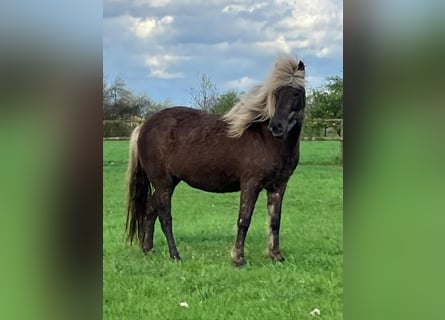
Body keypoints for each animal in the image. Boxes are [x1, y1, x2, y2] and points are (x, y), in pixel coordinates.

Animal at [125, 55, 306, 264]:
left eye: (296, 93)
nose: (277, 126)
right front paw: (238, 258)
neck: (267, 140)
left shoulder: (278, 186)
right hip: (163, 183)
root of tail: (144, 126)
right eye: (275, 93)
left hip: (169, 182)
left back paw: (148, 248)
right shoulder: (250, 184)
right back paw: (175, 255)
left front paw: (276, 255)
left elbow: (275, 222)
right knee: (165, 217)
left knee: (150, 210)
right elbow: (244, 219)